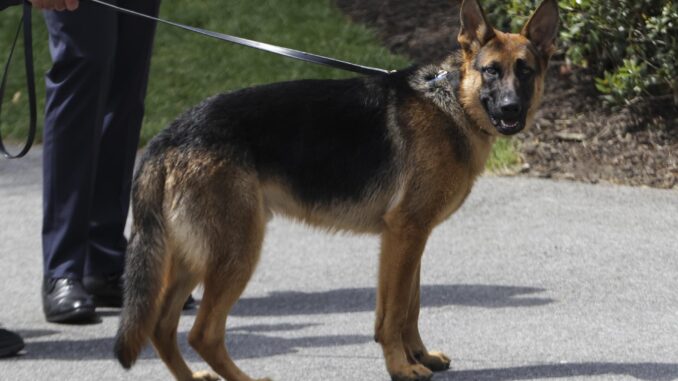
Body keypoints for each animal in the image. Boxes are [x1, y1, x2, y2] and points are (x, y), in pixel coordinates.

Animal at [117, 1, 560, 378]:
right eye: (491, 71)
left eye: (524, 71)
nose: (510, 109)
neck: (453, 103)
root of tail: (167, 137)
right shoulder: (405, 233)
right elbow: (394, 313)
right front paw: (401, 367)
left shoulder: (411, 237)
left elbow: (410, 306)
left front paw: (419, 356)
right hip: (236, 252)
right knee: (202, 333)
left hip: (195, 256)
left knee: (161, 326)